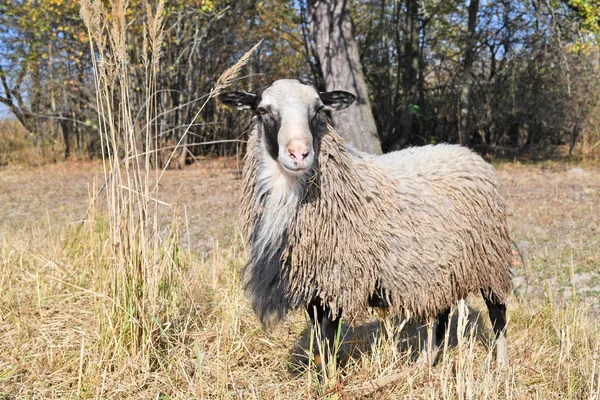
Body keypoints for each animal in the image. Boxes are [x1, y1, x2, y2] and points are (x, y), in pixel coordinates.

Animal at [218, 78, 512, 372]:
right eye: (262, 111)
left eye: (318, 110)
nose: (299, 154)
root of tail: (467, 152)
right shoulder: (315, 288)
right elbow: (319, 345)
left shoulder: (337, 282)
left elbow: (327, 343)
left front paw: (330, 380)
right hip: (441, 268)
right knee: (442, 314)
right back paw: (425, 364)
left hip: (490, 258)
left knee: (497, 314)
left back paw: (501, 365)